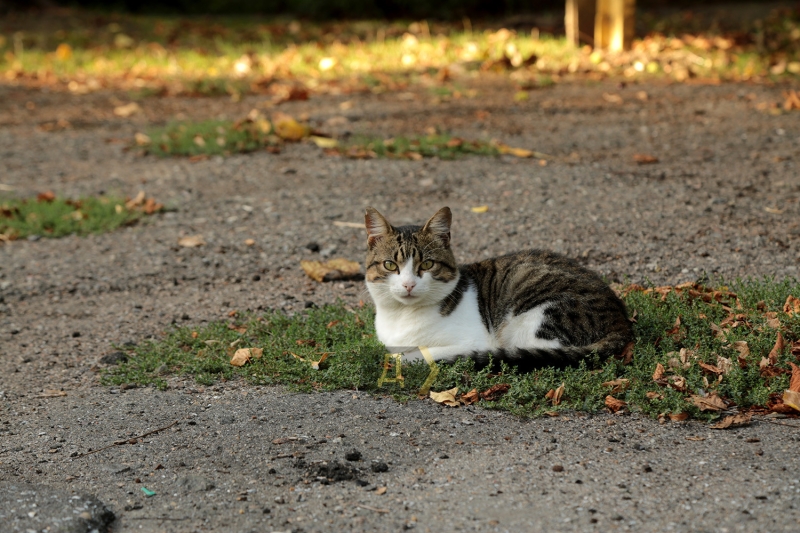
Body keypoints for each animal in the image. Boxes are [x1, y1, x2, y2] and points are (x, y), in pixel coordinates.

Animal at [362, 206, 632, 368]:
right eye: (390, 265)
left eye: (427, 264)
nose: (408, 284)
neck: (402, 318)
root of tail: (621, 319)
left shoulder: (472, 341)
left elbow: (417, 354)